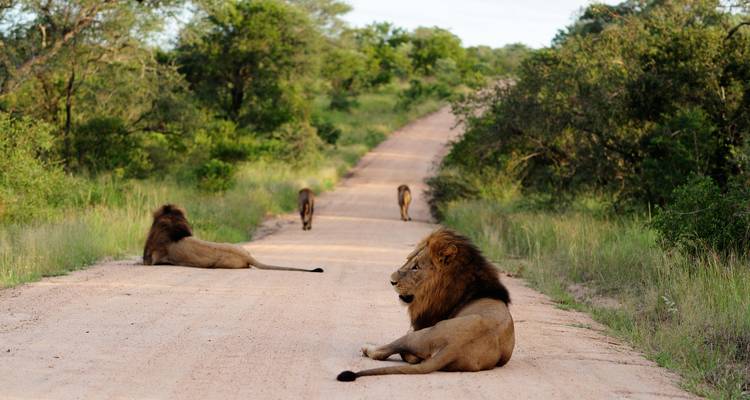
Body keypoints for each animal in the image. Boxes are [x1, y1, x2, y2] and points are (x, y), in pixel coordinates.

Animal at [337, 228, 513, 381]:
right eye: (408, 260)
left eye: (416, 267)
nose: (391, 281)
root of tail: (453, 347)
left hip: (419, 335)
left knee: (382, 353)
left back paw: (368, 348)